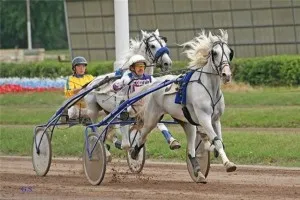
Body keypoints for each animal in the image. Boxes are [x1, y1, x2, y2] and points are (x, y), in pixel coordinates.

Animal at [130, 30, 238, 183]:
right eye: (215, 53)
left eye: (230, 52)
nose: (226, 74)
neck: (209, 88)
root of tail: (155, 83)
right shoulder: (204, 118)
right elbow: (216, 140)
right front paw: (228, 164)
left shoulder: (215, 120)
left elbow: (218, 141)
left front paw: (212, 148)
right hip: (152, 117)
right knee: (142, 135)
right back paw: (134, 153)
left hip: (187, 123)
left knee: (191, 149)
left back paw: (198, 172)